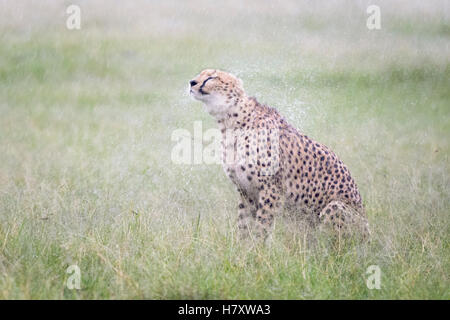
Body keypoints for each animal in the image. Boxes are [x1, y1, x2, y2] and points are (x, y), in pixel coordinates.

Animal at [190, 70, 370, 240]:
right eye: (200, 74)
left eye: (212, 77)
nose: (192, 82)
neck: (230, 121)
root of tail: (369, 237)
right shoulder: (246, 192)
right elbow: (243, 225)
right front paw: (241, 248)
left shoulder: (271, 189)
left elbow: (262, 226)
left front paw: (257, 249)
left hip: (335, 207)